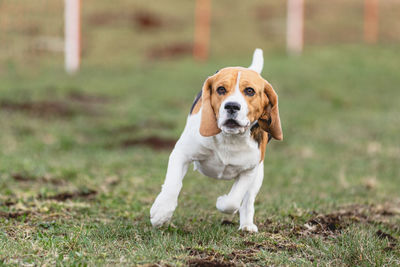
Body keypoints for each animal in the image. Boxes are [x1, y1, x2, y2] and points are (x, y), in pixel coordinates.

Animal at [148, 49, 282, 233]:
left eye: (249, 91)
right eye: (221, 89)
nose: (232, 106)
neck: (230, 138)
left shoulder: (249, 170)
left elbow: (233, 200)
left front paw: (222, 201)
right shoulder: (181, 154)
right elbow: (172, 184)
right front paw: (161, 213)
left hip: (258, 175)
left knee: (248, 201)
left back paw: (247, 225)